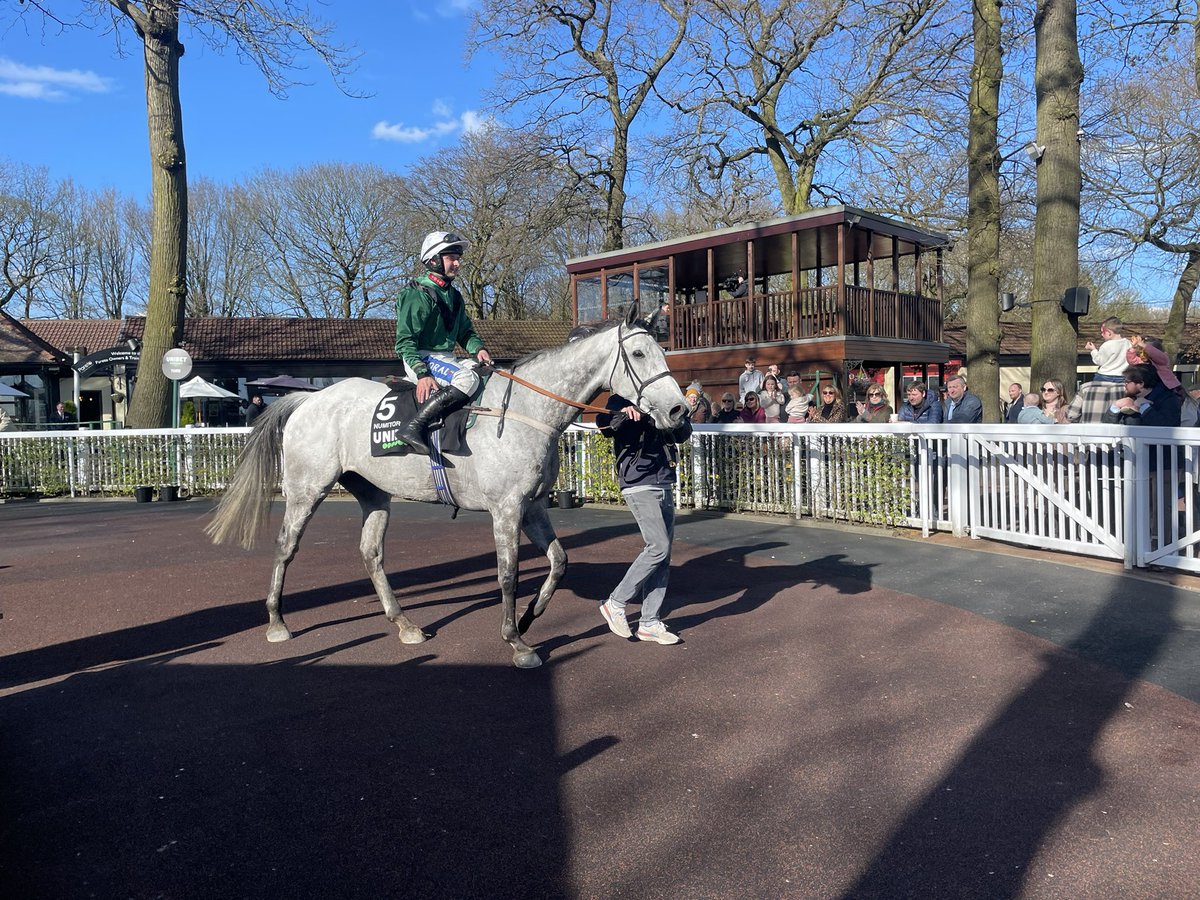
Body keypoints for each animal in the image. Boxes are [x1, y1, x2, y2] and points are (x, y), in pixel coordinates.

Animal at [208, 309, 686, 672]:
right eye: (639, 353)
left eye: (661, 351)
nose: (680, 410)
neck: (525, 411)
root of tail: (308, 400)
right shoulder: (506, 510)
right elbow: (508, 575)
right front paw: (516, 642)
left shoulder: (532, 506)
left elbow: (559, 562)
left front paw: (530, 618)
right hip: (308, 489)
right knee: (286, 546)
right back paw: (276, 622)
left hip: (374, 493)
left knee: (371, 554)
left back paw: (405, 625)